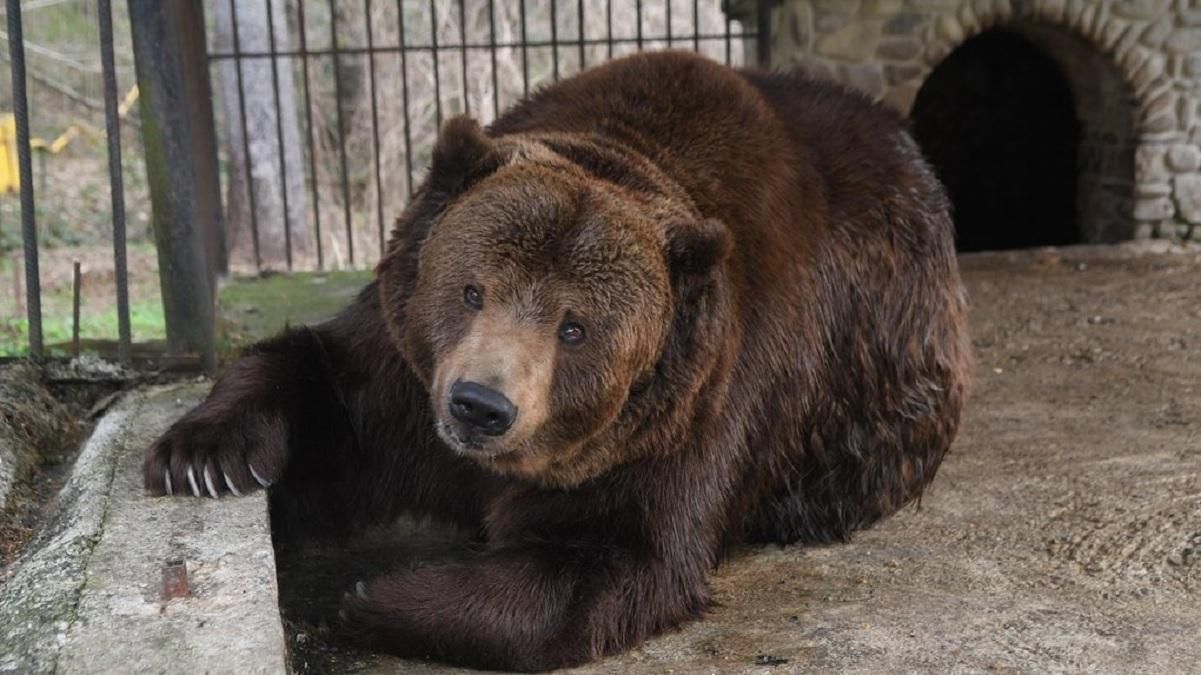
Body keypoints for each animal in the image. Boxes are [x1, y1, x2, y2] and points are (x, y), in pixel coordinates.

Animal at [145, 51, 970, 667]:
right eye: (472, 288)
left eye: (575, 328)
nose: (479, 405)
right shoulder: (404, 378)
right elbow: (325, 390)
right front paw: (203, 456)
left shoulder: (690, 413)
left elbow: (609, 558)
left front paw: (371, 595)